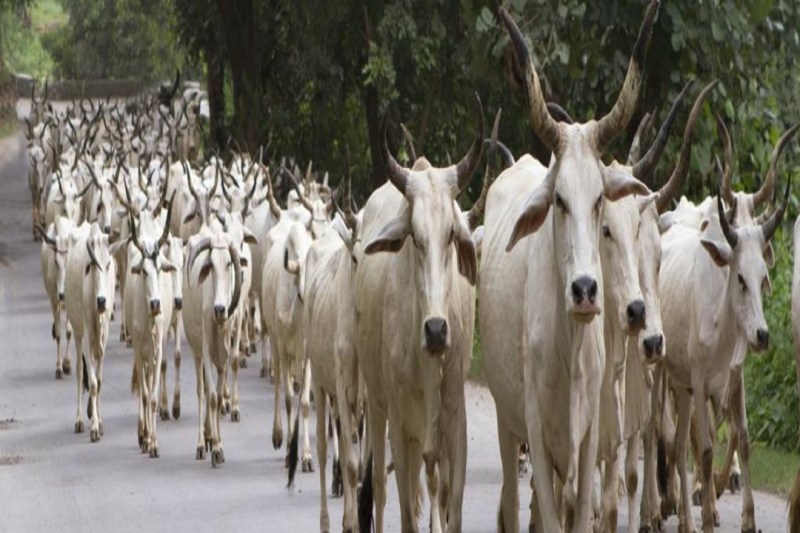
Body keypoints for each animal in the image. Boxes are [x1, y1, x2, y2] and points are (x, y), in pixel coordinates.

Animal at [480, 2, 658, 530]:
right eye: (558, 199)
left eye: (600, 199)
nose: (584, 291)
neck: (569, 348)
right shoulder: (537, 438)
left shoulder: (589, 441)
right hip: (507, 421)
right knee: (513, 505)